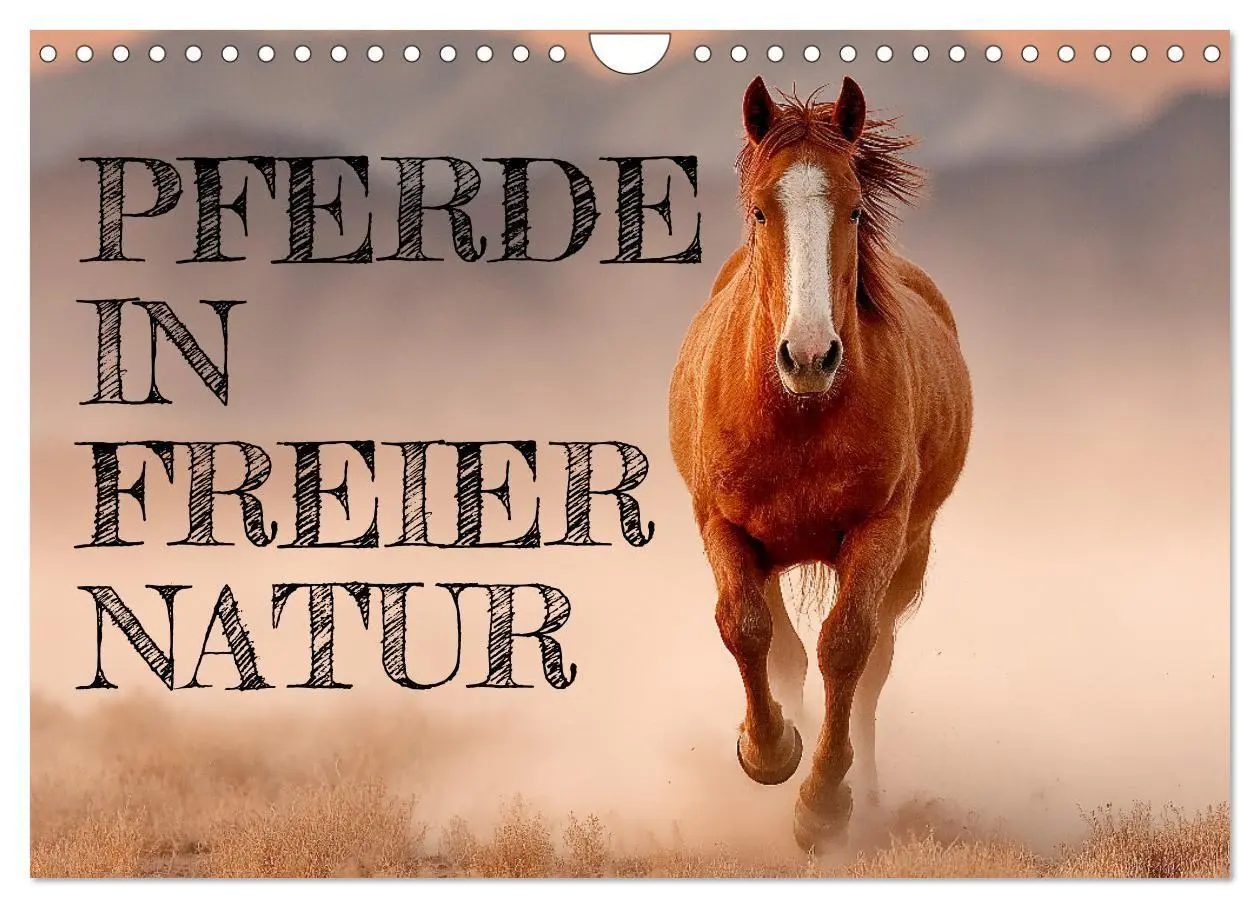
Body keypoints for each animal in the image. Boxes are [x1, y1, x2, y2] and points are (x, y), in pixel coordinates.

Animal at [668, 76, 973, 851]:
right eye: (759, 209)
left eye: (855, 206)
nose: (809, 355)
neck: (799, 413)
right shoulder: (723, 525)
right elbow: (748, 630)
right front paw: (769, 751)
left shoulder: (880, 530)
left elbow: (847, 648)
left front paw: (823, 804)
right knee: (782, 650)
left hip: (912, 550)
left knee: (871, 666)